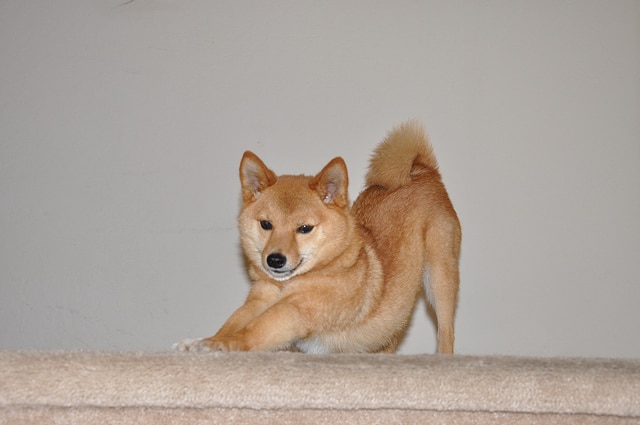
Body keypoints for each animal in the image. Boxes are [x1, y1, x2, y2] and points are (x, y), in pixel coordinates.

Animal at [175, 121, 460, 352]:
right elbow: (233, 323)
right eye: (266, 224)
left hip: (440, 279)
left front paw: (216, 345)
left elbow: (251, 331)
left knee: (446, 335)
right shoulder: (259, 300)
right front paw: (206, 339)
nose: (274, 260)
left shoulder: (297, 310)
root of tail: (422, 170)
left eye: (304, 228)